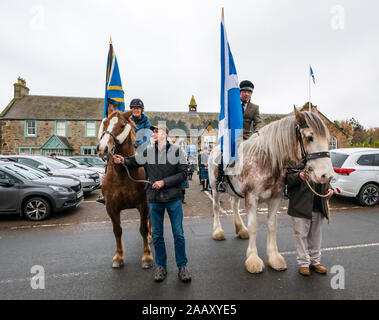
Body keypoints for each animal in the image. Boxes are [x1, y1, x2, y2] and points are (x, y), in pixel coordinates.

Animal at [97, 110, 154, 270]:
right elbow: (117, 230)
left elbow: (143, 229)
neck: (123, 172)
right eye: (105, 123)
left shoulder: (143, 204)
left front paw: (147, 257)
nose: (103, 148)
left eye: (122, 126)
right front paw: (118, 257)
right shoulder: (111, 207)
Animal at [208, 106, 336, 274]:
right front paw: (253, 259)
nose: (326, 175)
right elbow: (254, 225)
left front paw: (274, 258)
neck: (266, 160)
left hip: (235, 192)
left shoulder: (275, 199)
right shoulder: (252, 198)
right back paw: (217, 231)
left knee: (234, 205)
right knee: (216, 208)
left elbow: (272, 225)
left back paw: (241, 229)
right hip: (214, 188)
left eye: (328, 140)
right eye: (310, 137)